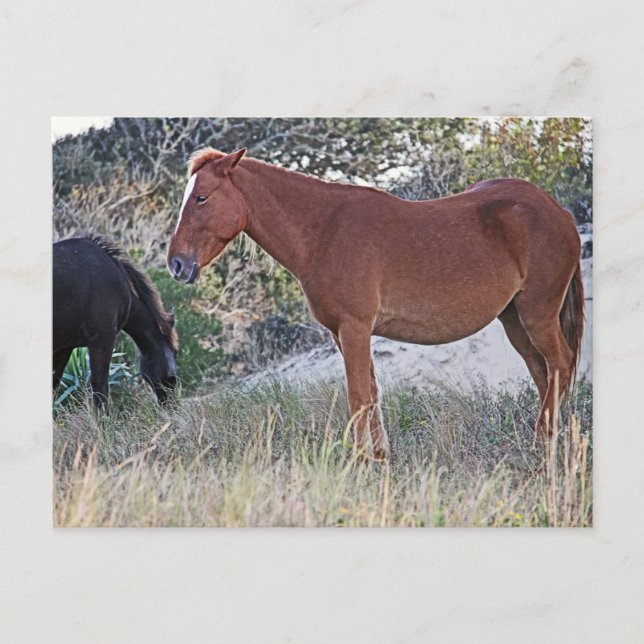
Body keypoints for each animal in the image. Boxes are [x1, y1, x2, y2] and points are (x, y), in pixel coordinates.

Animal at [167, 148, 584, 459]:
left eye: (202, 197)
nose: (176, 264)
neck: (324, 231)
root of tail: (558, 211)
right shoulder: (344, 334)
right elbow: (371, 394)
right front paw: (380, 457)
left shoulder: (355, 328)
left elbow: (358, 397)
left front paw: (361, 461)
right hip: (514, 320)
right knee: (545, 373)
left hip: (537, 314)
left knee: (560, 363)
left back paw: (543, 443)